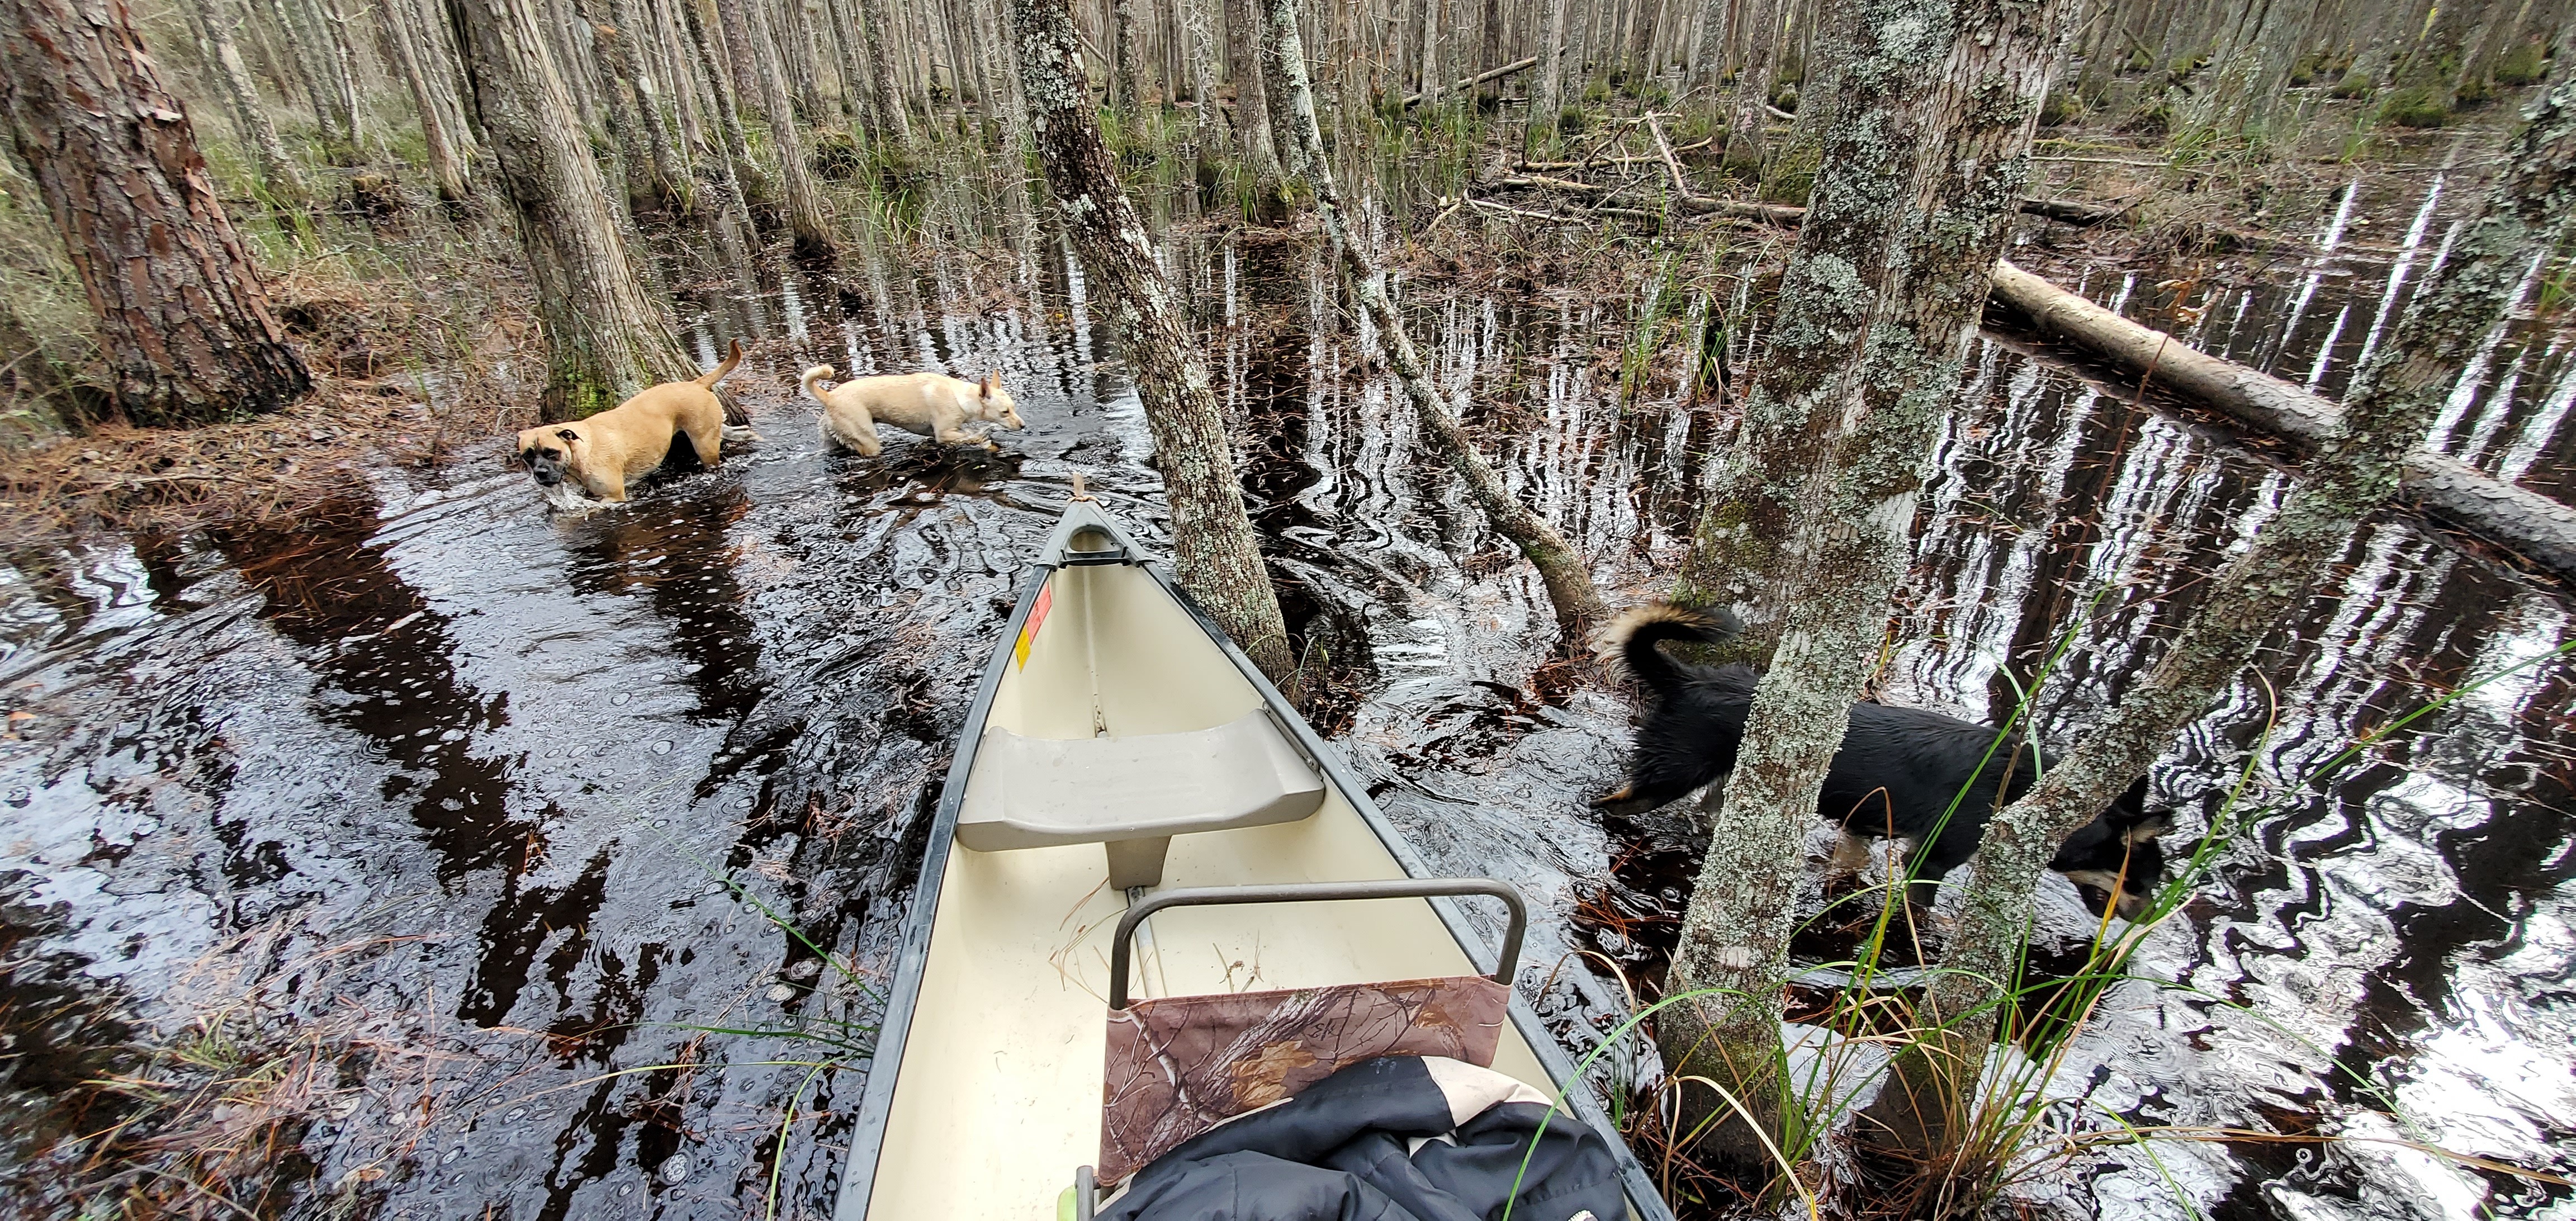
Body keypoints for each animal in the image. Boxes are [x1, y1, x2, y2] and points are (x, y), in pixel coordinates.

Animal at [512, 337, 752, 505]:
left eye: (552, 452)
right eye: (528, 456)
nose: (540, 473)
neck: (580, 453)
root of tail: (696, 384)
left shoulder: (614, 498)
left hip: (704, 444)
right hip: (712, 430)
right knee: (740, 432)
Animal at [798, 368, 1020, 458]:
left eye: (1014, 407)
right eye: (1005, 412)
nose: (1023, 425)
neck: (960, 397)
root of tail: (829, 397)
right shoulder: (943, 433)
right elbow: (969, 436)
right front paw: (981, 437)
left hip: (833, 439)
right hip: (868, 440)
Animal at [1587, 600, 2174, 917]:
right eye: (2142, 883)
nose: (2141, 923)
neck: (2026, 787)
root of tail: (1688, 678)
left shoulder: (1862, 827)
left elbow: (1848, 866)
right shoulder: (1930, 861)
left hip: (1725, 786)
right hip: (1666, 777)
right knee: (1611, 805)